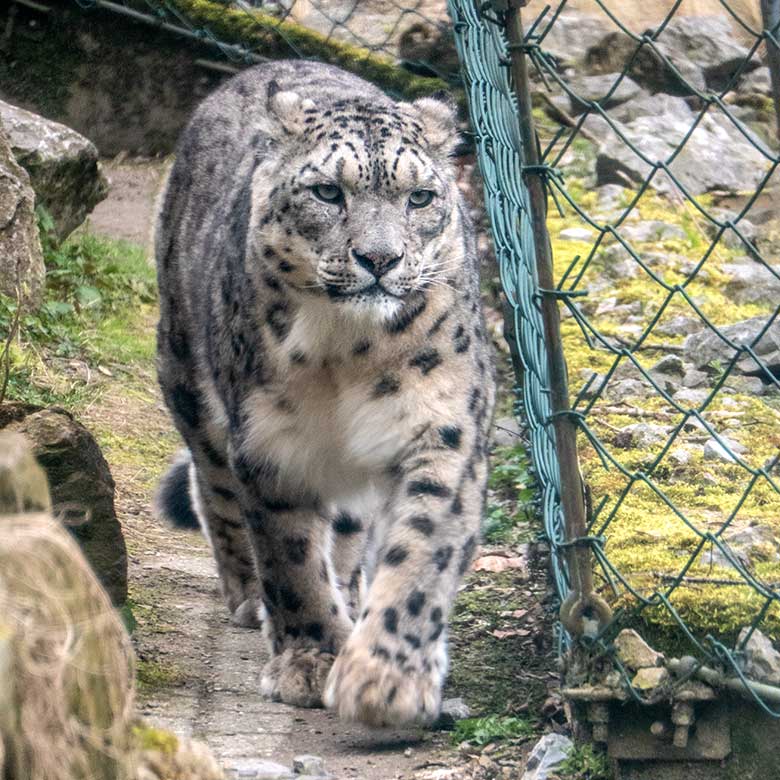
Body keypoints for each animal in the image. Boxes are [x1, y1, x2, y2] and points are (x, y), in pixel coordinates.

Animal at [154, 59, 494, 724]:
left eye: (420, 197)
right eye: (328, 192)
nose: (380, 259)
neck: (349, 352)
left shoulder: (443, 428)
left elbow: (422, 552)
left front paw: (386, 679)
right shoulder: (271, 442)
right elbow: (289, 559)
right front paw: (311, 660)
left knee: (350, 528)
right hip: (186, 374)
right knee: (215, 490)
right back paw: (248, 594)